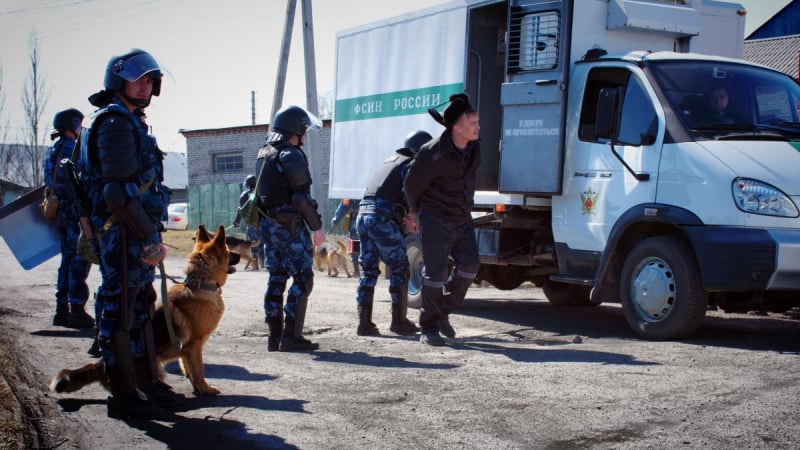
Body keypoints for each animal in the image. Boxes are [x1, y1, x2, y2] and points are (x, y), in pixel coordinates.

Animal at [51, 224, 233, 394]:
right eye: (229, 252)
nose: (240, 254)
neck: (200, 283)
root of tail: (101, 364)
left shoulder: (187, 350)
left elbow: (188, 368)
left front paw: (197, 386)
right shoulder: (195, 345)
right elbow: (198, 369)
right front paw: (205, 388)